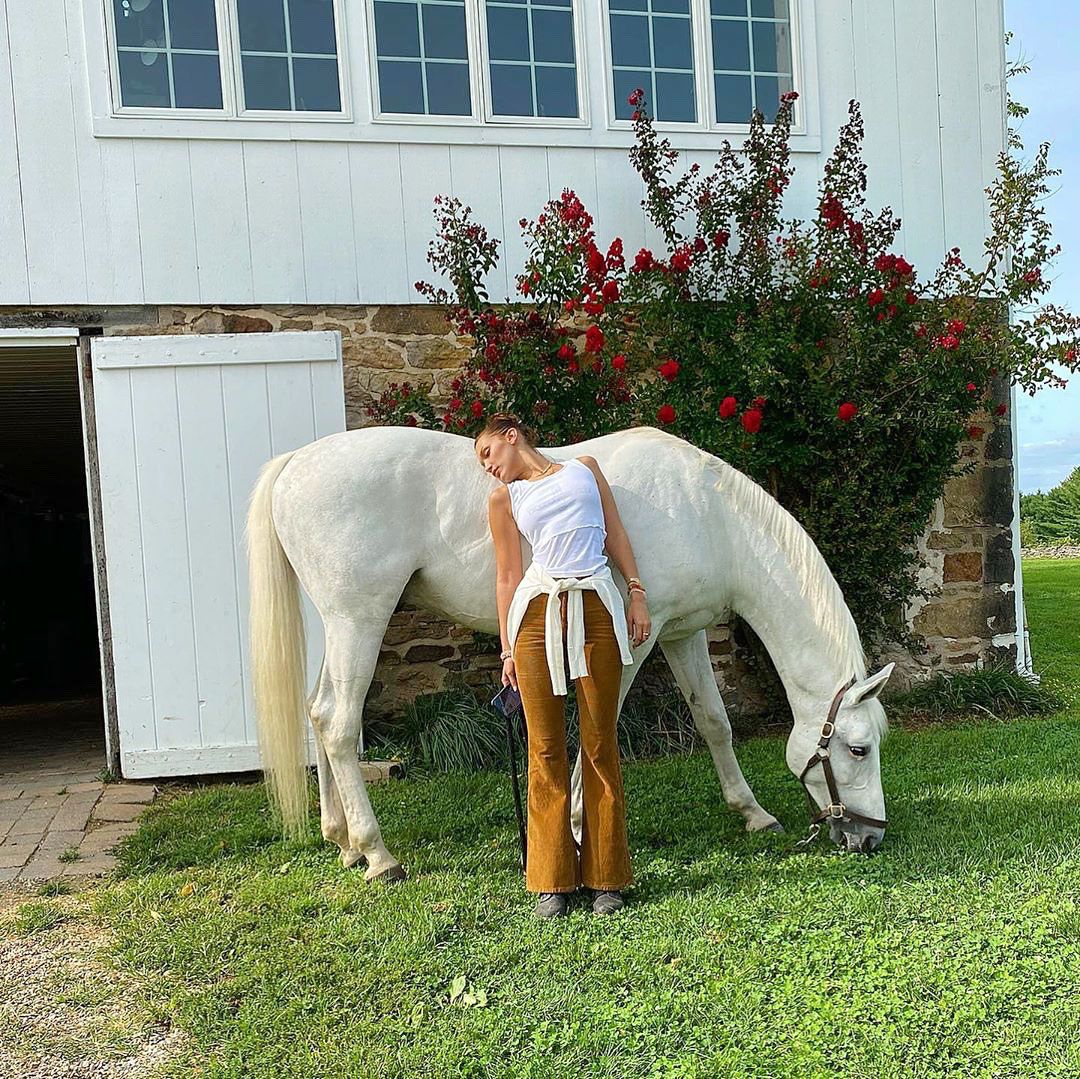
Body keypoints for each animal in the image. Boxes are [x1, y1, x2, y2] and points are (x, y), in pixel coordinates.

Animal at [247, 425, 894, 881]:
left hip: (340, 624)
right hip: (359, 619)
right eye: (858, 748)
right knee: (338, 721)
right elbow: (599, 722)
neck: (707, 513)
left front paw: (753, 812)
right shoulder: (638, 636)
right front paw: (581, 824)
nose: (870, 838)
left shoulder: (681, 634)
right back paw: (378, 856)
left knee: (318, 712)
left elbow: (714, 721)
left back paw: (341, 840)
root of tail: (296, 463)